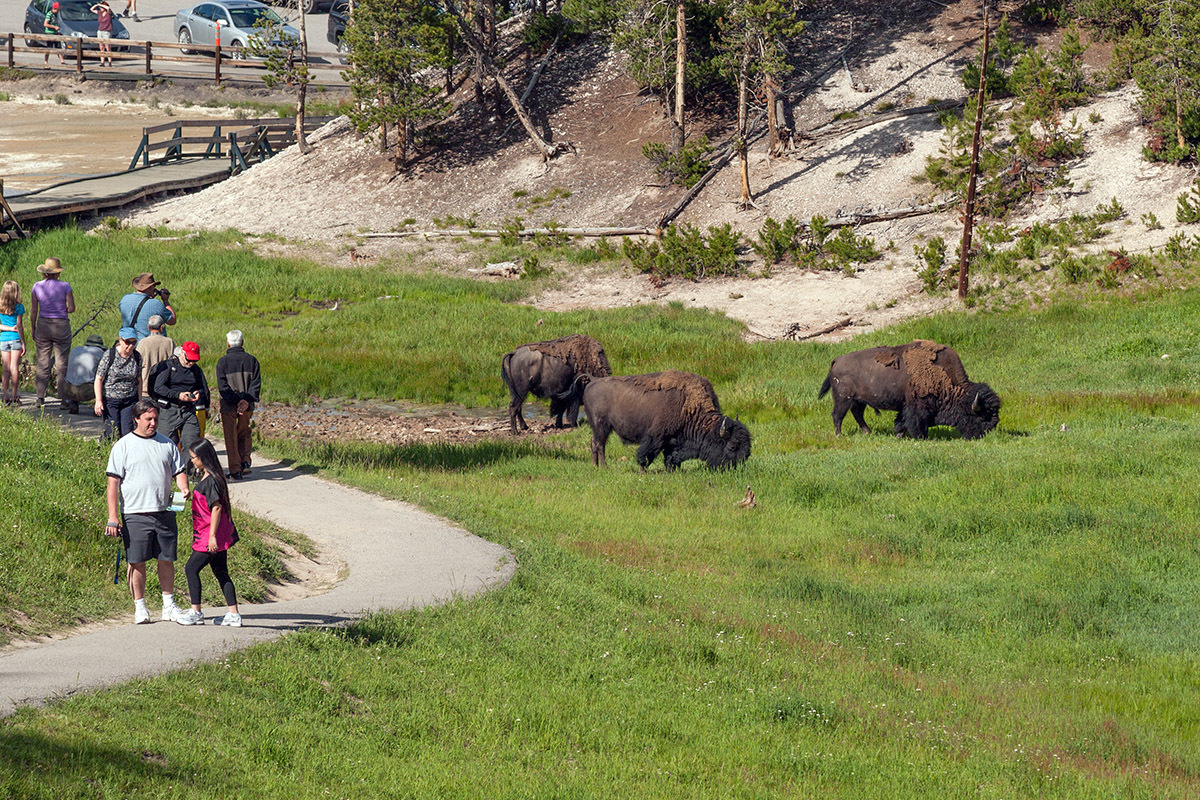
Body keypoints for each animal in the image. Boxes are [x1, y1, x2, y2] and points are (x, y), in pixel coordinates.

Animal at [580, 371, 748, 472]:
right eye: (732, 446)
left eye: (747, 449)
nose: (738, 469)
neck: (688, 407)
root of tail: (593, 380)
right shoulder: (656, 437)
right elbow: (646, 454)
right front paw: (643, 471)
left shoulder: (673, 440)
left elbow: (669, 456)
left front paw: (673, 470)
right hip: (602, 426)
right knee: (600, 445)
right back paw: (604, 467)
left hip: (597, 427)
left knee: (593, 442)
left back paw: (595, 466)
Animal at [816, 338, 1003, 438]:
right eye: (982, 416)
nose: (987, 433)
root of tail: (837, 360)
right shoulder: (917, 406)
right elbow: (914, 422)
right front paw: (920, 437)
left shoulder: (906, 406)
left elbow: (902, 421)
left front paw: (900, 435)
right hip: (843, 399)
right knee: (838, 416)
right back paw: (839, 435)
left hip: (858, 401)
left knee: (857, 414)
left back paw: (867, 432)